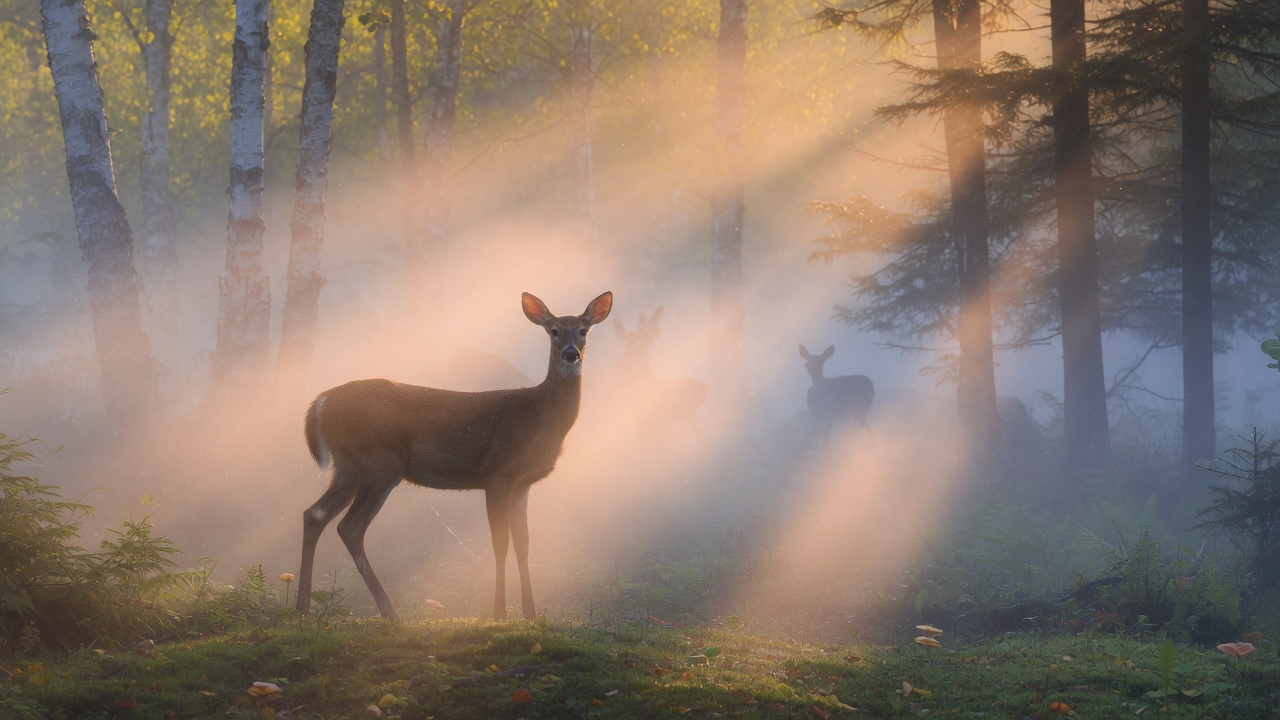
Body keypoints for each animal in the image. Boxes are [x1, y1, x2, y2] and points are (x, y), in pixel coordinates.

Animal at [296, 291, 613, 622]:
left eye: (583, 330)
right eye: (553, 331)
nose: (570, 354)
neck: (540, 417)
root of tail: (321, 402)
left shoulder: (523, 483)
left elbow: (524, 543)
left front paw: (531, 613)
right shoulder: (498, 474)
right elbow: (500, 543)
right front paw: (499, 612)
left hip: (348, 466)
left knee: (314, 514)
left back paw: (302, 607)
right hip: (380, 462)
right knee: (349, 528)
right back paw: (390, 613)